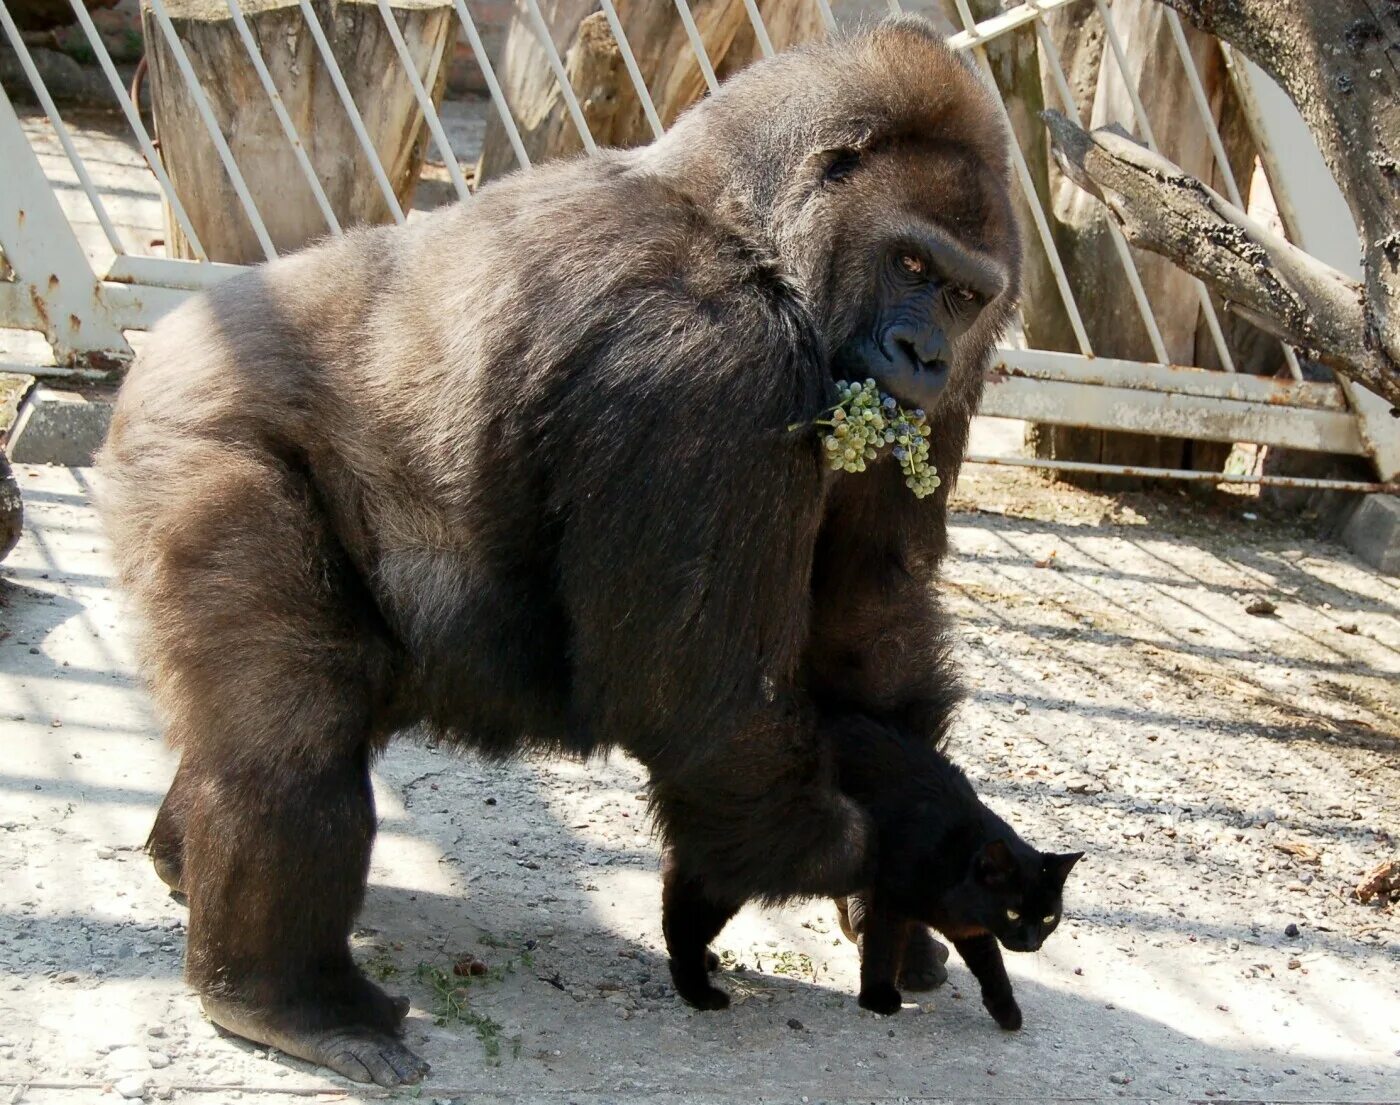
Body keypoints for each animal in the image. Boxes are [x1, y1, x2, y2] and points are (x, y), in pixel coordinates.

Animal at [98, 15, 1019, 1086]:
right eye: (910, 266)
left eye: (964, 295)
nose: (924, 356)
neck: (744, 226)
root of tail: (168, 337)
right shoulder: (709, 362)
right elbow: (702, 705)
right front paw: (886, 860)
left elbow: (865, 618)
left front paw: (917, 870)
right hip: (187, 436)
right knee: (295, 713)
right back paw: (278, 994)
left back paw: (182, 858)